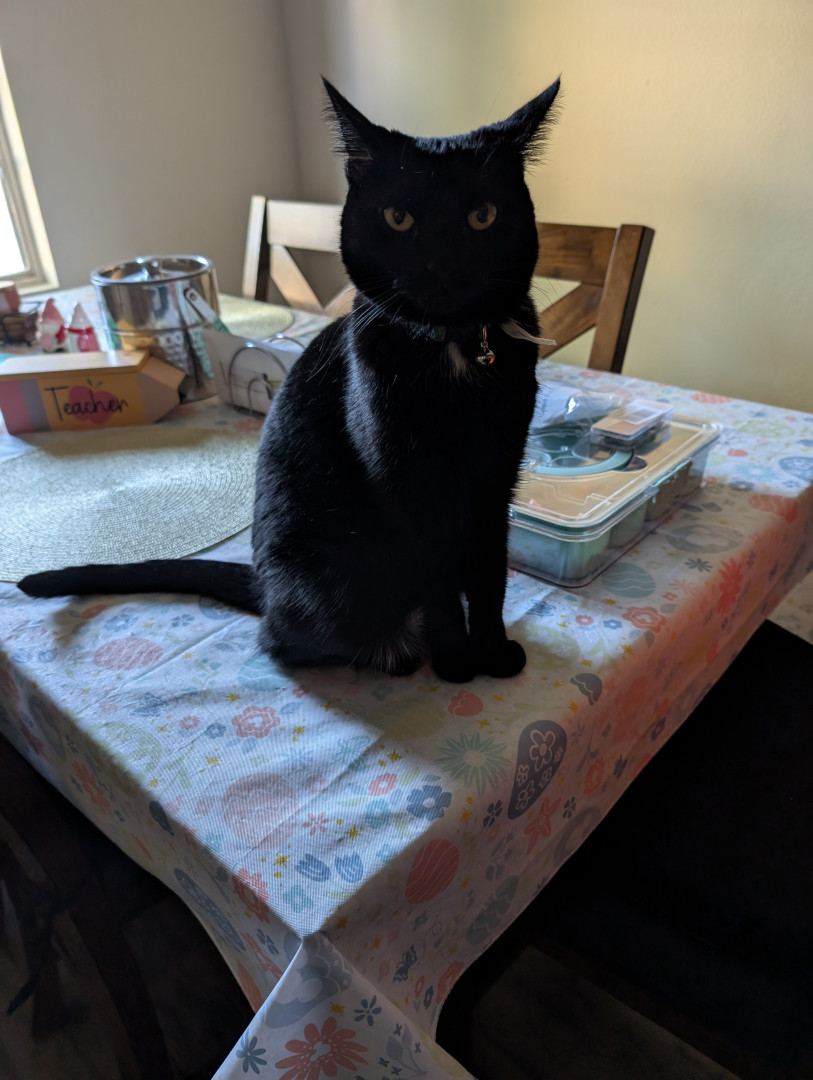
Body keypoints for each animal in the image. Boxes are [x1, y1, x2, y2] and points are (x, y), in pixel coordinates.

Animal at [19, 77, 561, 684]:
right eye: (398, 217)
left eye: (482, 216)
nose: (442, 266)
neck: (452, 351)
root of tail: (263, 583)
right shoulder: (407, 485)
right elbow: (440, 578)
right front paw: (455, 659)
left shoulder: (496, 476)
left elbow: (490, 575)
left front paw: (494, 650)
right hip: (320, 580)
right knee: (280, 640)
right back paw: (393, 650)